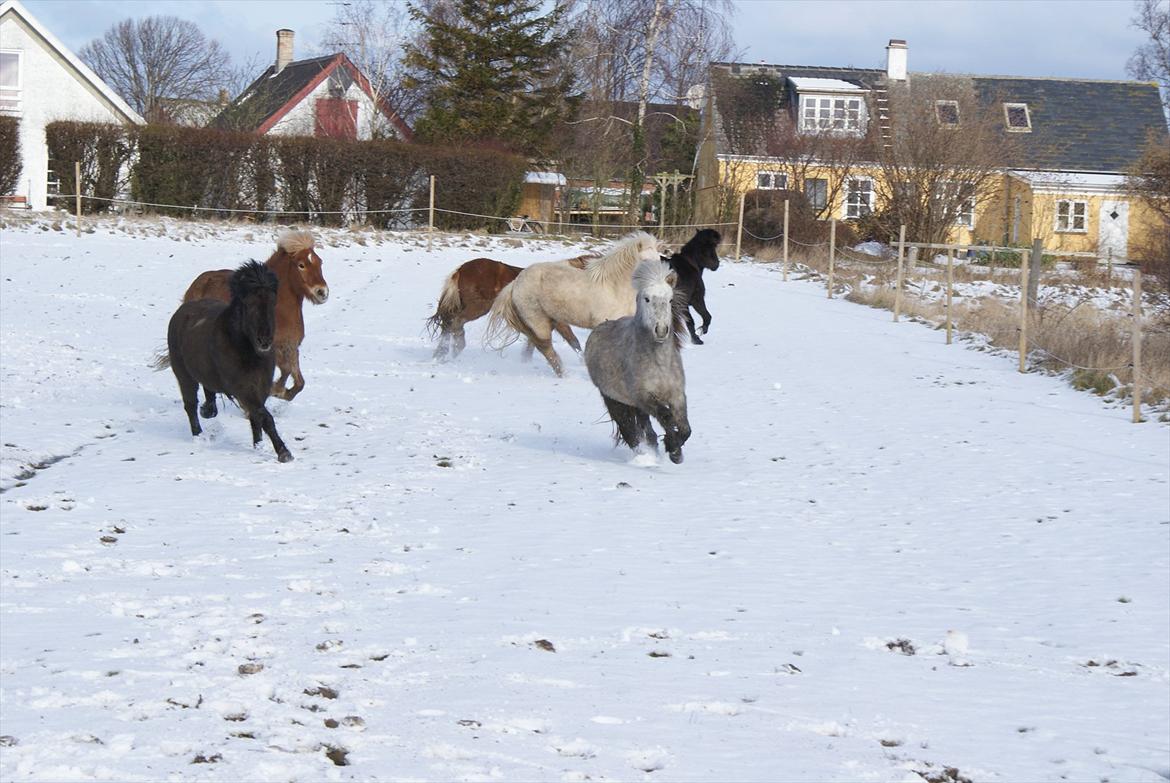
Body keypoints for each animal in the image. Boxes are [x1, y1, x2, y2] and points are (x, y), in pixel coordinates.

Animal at [155, 259, 294, 461]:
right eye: (248, 303)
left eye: (272, 302)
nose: (265, 340)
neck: (247, 349)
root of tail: (181, 312)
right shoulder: (243, 388)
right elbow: (264, 416)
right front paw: (284, 453)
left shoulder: (261, 386)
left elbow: (256, 416)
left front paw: (258, 445)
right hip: (184, 375)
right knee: (190, 404)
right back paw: (199, 435)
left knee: (208, 393)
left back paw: (207, 411)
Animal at [182, 224, 329, 397]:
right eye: (301, 265)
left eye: (320, 263)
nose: (322, 292)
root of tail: (199, 282)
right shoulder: (271, 348)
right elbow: (286, 371)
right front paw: (276, 390)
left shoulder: (291, 348)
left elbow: (299, 382)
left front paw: (280, 391)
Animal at [425, 255, 589, 358]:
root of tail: (460, 270)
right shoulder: (557, 322)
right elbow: (573, 341)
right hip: (480, 306)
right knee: (456, 322)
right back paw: (457, 347)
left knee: (448, 325)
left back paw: (442, 355)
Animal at [484, 229, 664, 374]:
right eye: (646, 262)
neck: (615, 287)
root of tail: (515, 283)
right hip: (538, 323)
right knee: (547, 350)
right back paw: (563, 374)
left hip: (550, 321)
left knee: (536, 346)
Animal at [582, 256, 687, 463]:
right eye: (647, 299)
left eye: (670, 299)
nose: (661, 330)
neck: (660, 364)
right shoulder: (644, 397)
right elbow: (667, 417)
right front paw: (673, 449)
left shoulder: (678, 396)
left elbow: (685, 429)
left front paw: (675, 450)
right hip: (614, 399)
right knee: (630, 431)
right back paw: (644, 456)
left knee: (645, 431)